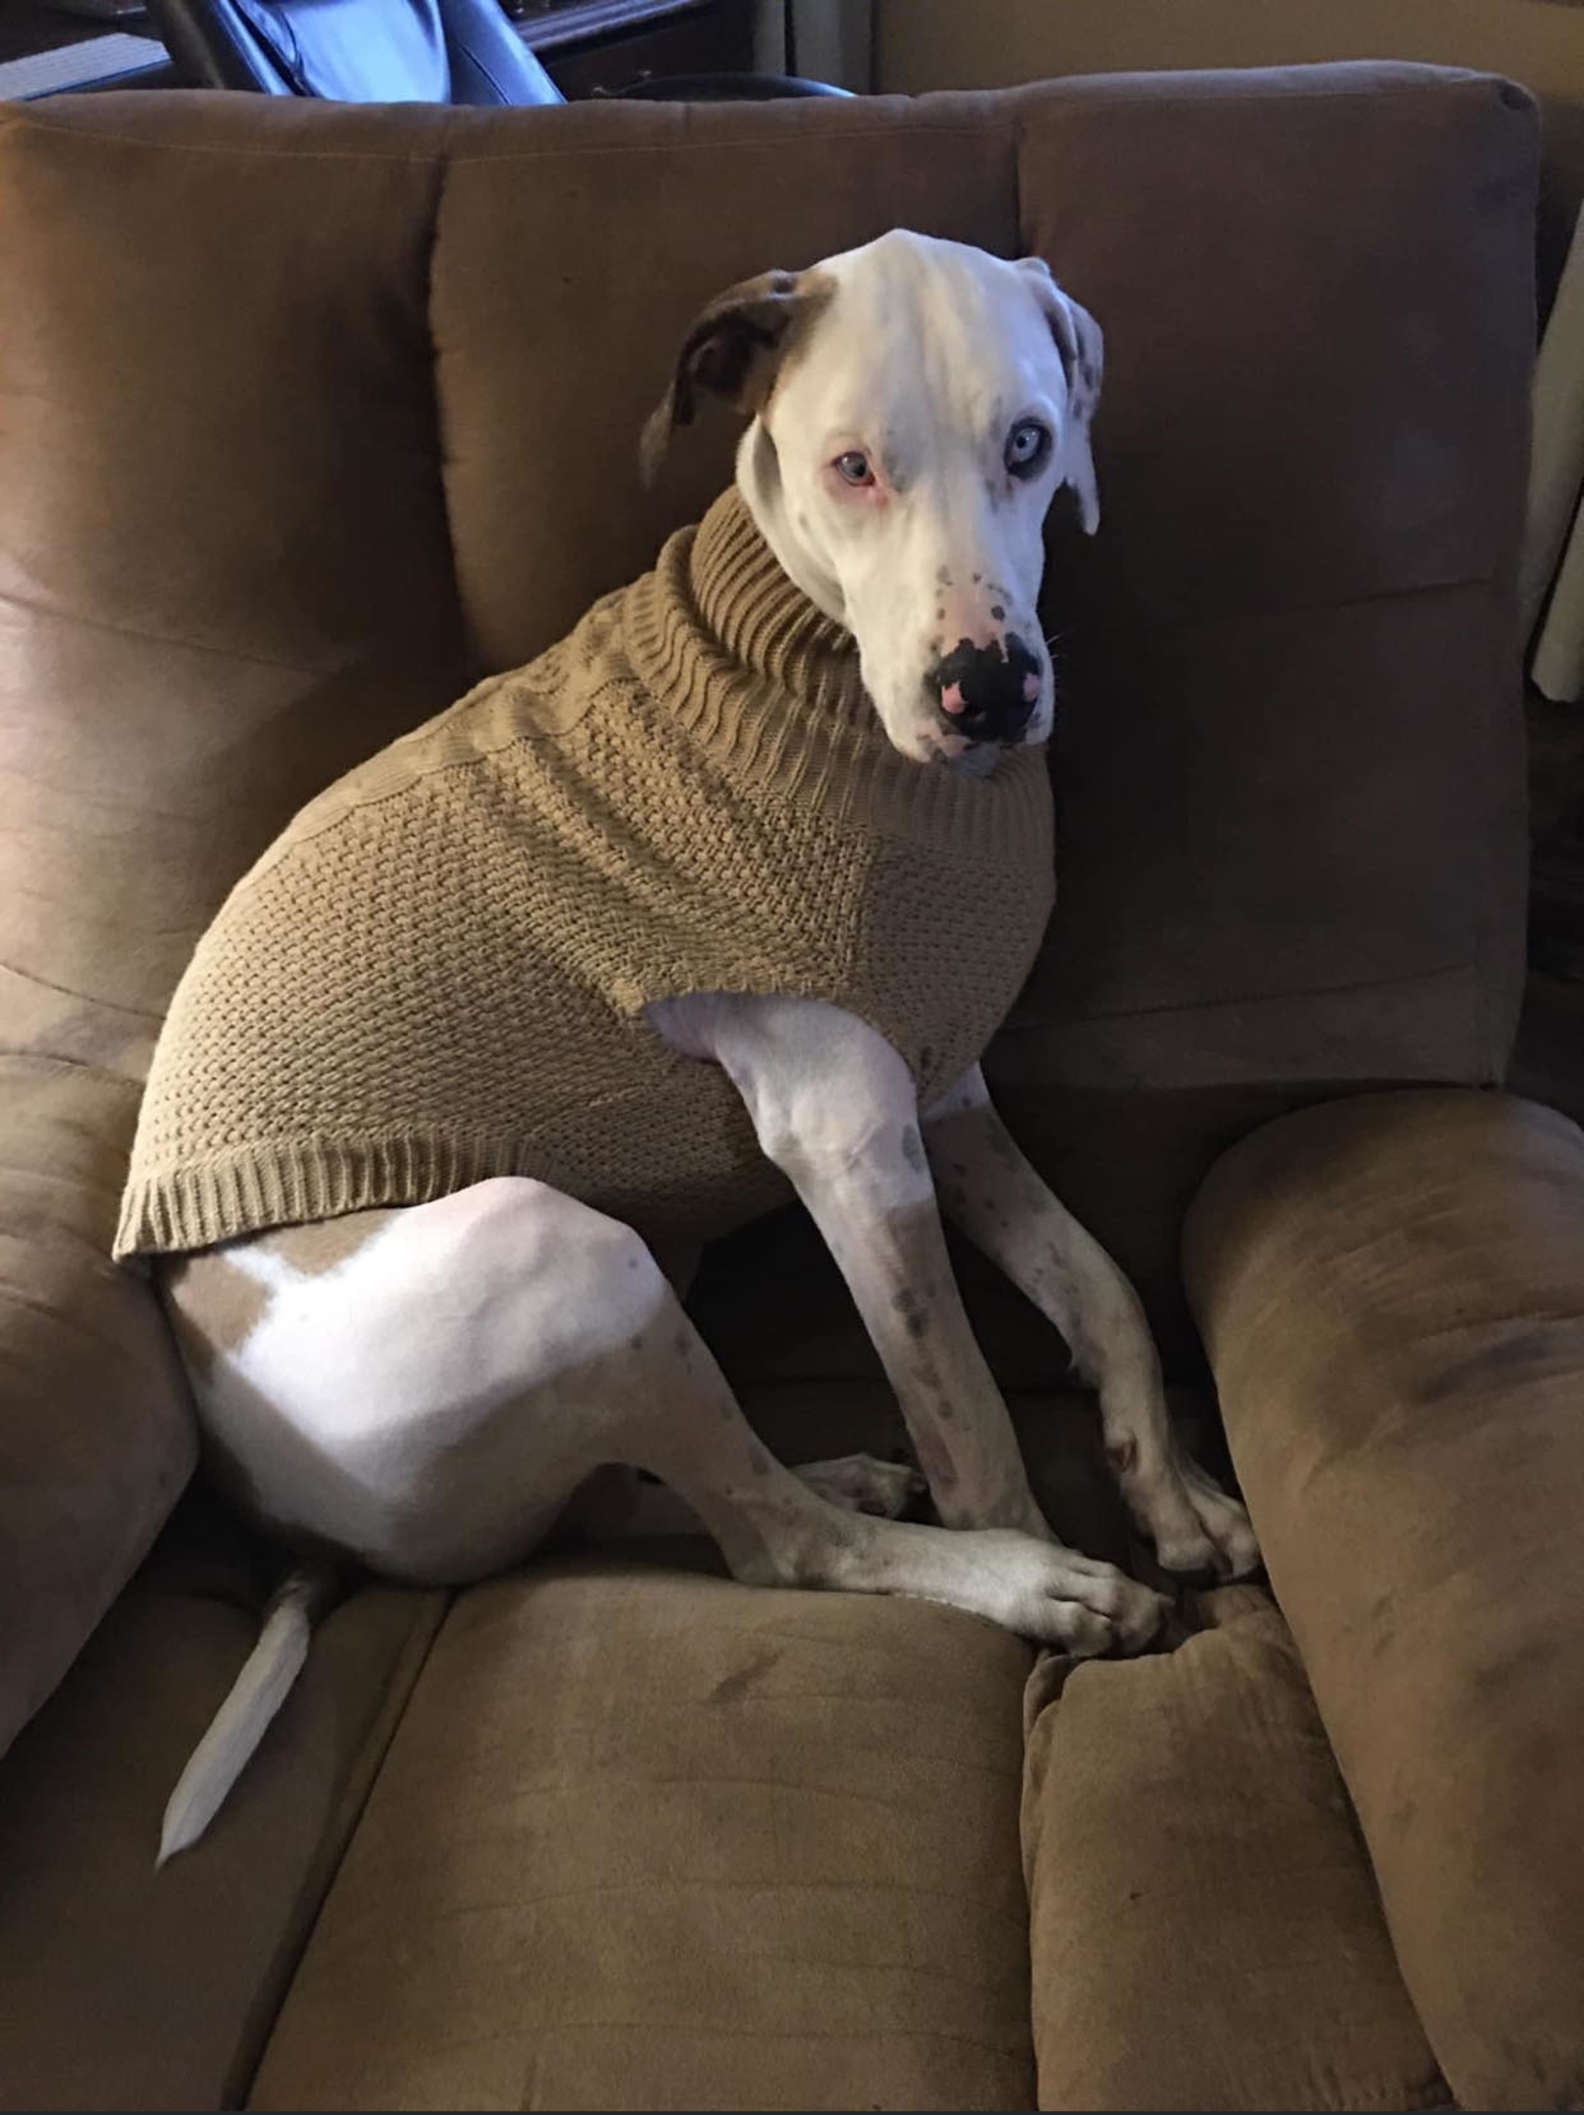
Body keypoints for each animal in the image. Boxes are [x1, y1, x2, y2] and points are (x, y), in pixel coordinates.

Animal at [129, 227, 1251, 1869]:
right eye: (852, 466)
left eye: (1031, 445)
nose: (988, 690)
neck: (810, 667)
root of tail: (275, 1517)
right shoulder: (851, 1134)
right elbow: (971, 1411)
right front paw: (1041, 1563)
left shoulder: (942, 1085)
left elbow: (1098, 1284)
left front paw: (1171, 1490)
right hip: (564, 1248)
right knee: (775, 1544)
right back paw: (990, 1569)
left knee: (644, 1494)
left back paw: (838, 1466)